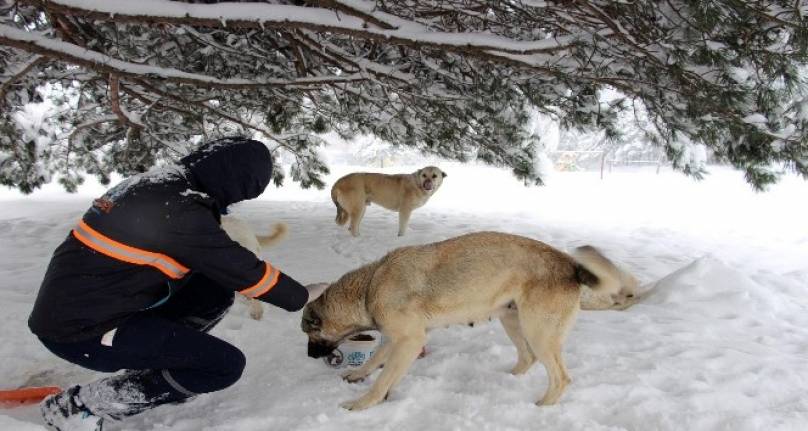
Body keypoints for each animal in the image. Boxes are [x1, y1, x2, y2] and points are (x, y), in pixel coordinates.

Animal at [300, 233, 636, 412]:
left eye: (310, 335)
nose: (308, 356)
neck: (370, 286)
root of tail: (570, 264)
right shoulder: (396, 340)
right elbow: (376, 363)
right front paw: (359, 375)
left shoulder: (409, 341)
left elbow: (383, 379)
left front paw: (363, 404)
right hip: (512, 321)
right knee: (526, 358)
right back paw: (508, 379)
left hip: (538, 332)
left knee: (560, 377)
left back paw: (543, 407)